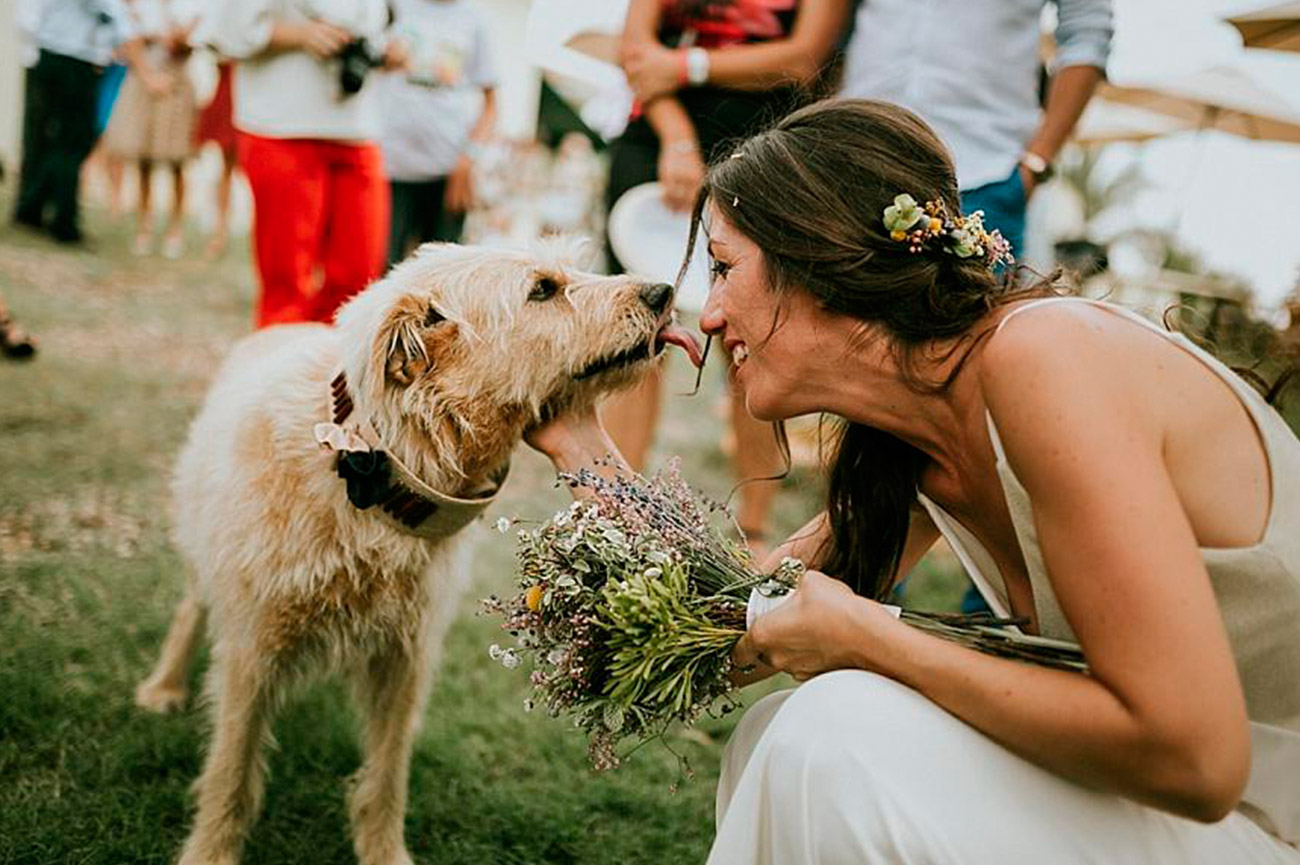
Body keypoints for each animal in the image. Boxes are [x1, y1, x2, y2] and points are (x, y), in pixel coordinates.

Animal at [133, 243, 702, 863]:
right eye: (543, 290)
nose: (664, 293)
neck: (373, 468)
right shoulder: (252, 651)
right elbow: (232, 770)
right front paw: (210, 851)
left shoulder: (404, 658)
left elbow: (387, 772)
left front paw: (383, 851)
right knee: (191, 608)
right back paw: (164, 686)